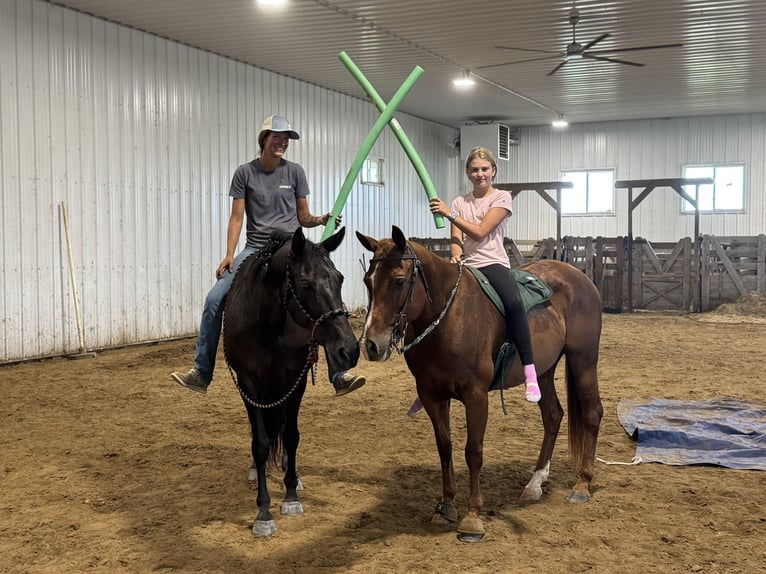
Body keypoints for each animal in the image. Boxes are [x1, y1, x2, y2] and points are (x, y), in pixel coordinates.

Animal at [223, 227, 360, 536]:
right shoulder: (249, 384)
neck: (268, 324)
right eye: (306, 284)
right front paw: (263, 512)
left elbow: (292, 435)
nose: (349, 350)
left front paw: (291, 496)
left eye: (340, 278)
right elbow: (261, 443)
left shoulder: (295, 380)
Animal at [356, 226, 603, 542]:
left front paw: (472, 517)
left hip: (583, 360)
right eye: (368, 280)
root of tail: (580, 277)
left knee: (592, 413)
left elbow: (473, 451)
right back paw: (535, 483)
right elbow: (445, 447)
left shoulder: (476, 395)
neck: (449, 318)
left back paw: (582, 484)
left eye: (399, 281)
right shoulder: (431, 394)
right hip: (544, 371)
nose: (371, 345)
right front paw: (446, 505)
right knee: (553, 416)